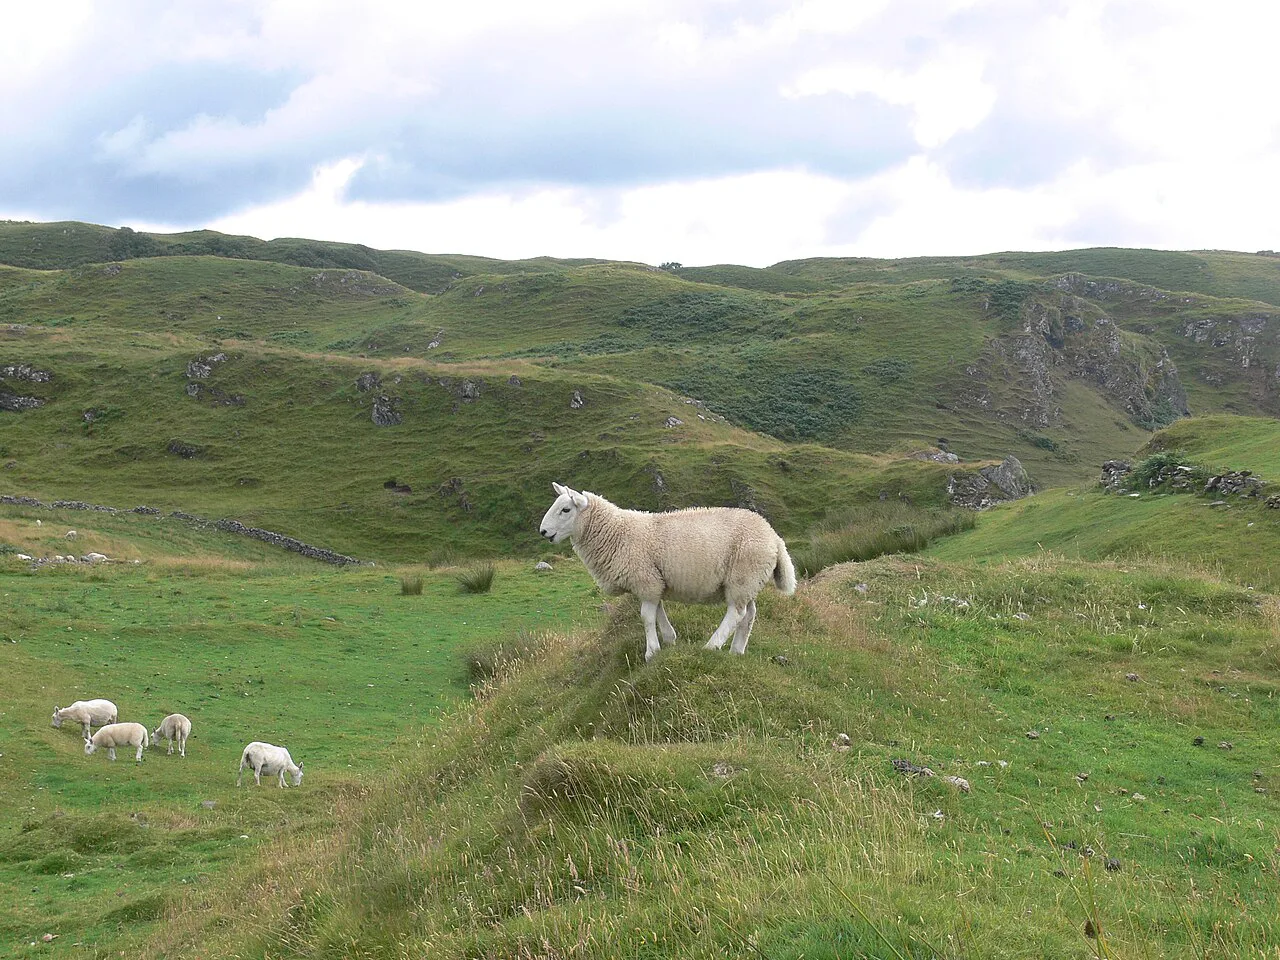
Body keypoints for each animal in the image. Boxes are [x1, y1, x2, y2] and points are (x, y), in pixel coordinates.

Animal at [539, 482, 797, 660]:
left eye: (565, 510)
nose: (542, 532)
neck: (616, 532)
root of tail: (774, 536)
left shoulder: (645, 579)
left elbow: (645, 616)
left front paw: (651, 652)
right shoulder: (653, 581)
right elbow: (657, 611)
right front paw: (669, 639)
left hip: (743, 575)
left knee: (737, 613)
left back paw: (712, 646)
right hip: (749, 580)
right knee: (749, 613)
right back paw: (736, 650)